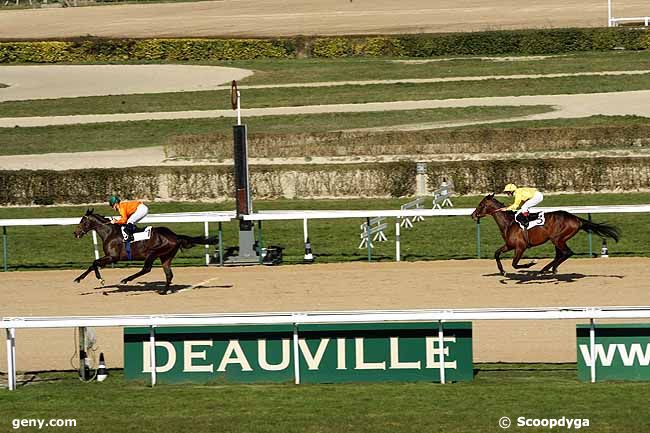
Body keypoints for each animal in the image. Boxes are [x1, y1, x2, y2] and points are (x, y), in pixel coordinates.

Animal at [72, 208, 216, 288]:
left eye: (83, 221)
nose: (75, 233)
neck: (110, 232)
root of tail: (175, 236)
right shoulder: (109, 258)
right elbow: (93, 264)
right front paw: (78, 279)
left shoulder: (112, 257)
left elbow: (94, 262)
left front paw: (100, 279)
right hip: (166, 256)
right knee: (168, 274)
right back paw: (163, 291)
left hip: (153, 253)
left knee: (146, 269)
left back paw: (126, 279)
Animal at [470, 194, 616, 276]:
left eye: (481, 204)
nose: (473, 215)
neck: (509, 223)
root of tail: (576, 219)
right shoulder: (510, 245)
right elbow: (496, 254)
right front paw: (502, 271)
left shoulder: (520, 247)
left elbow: (515, 264)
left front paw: (531, 263)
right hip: (558, 240)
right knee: (561, 254)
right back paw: (550, 269)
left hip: (558, 239)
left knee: (567, 253)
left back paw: (544, 270)